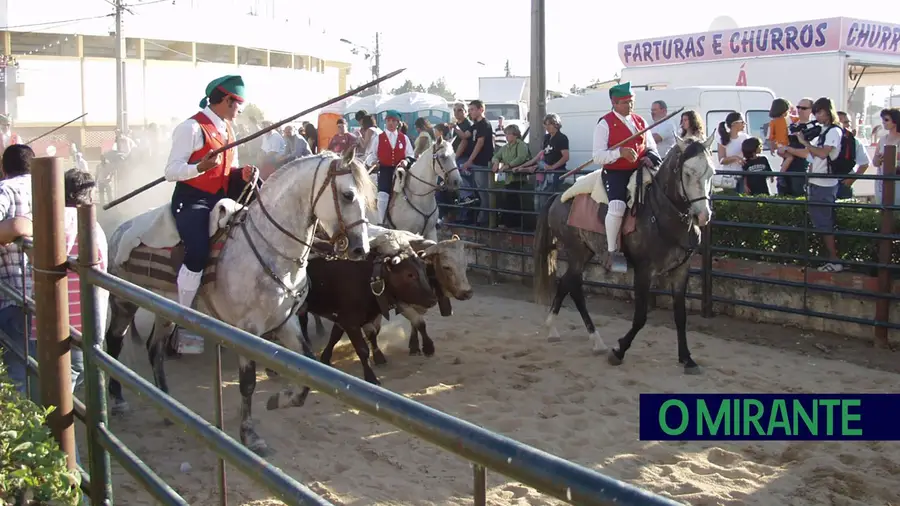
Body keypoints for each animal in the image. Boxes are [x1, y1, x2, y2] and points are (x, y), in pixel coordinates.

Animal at [104, 149, 372, 454]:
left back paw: (165, 403)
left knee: (154, 349)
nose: (361, 249)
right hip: (123, 302)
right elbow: (248, 383)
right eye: (348, 195)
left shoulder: (285, 322)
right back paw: (118, 400)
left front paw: (279, 400)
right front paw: (250, 434)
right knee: (114, 341)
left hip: (162, 309)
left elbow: (308, 369)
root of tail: (120, 229)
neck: (268, 247)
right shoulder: (247, 329)